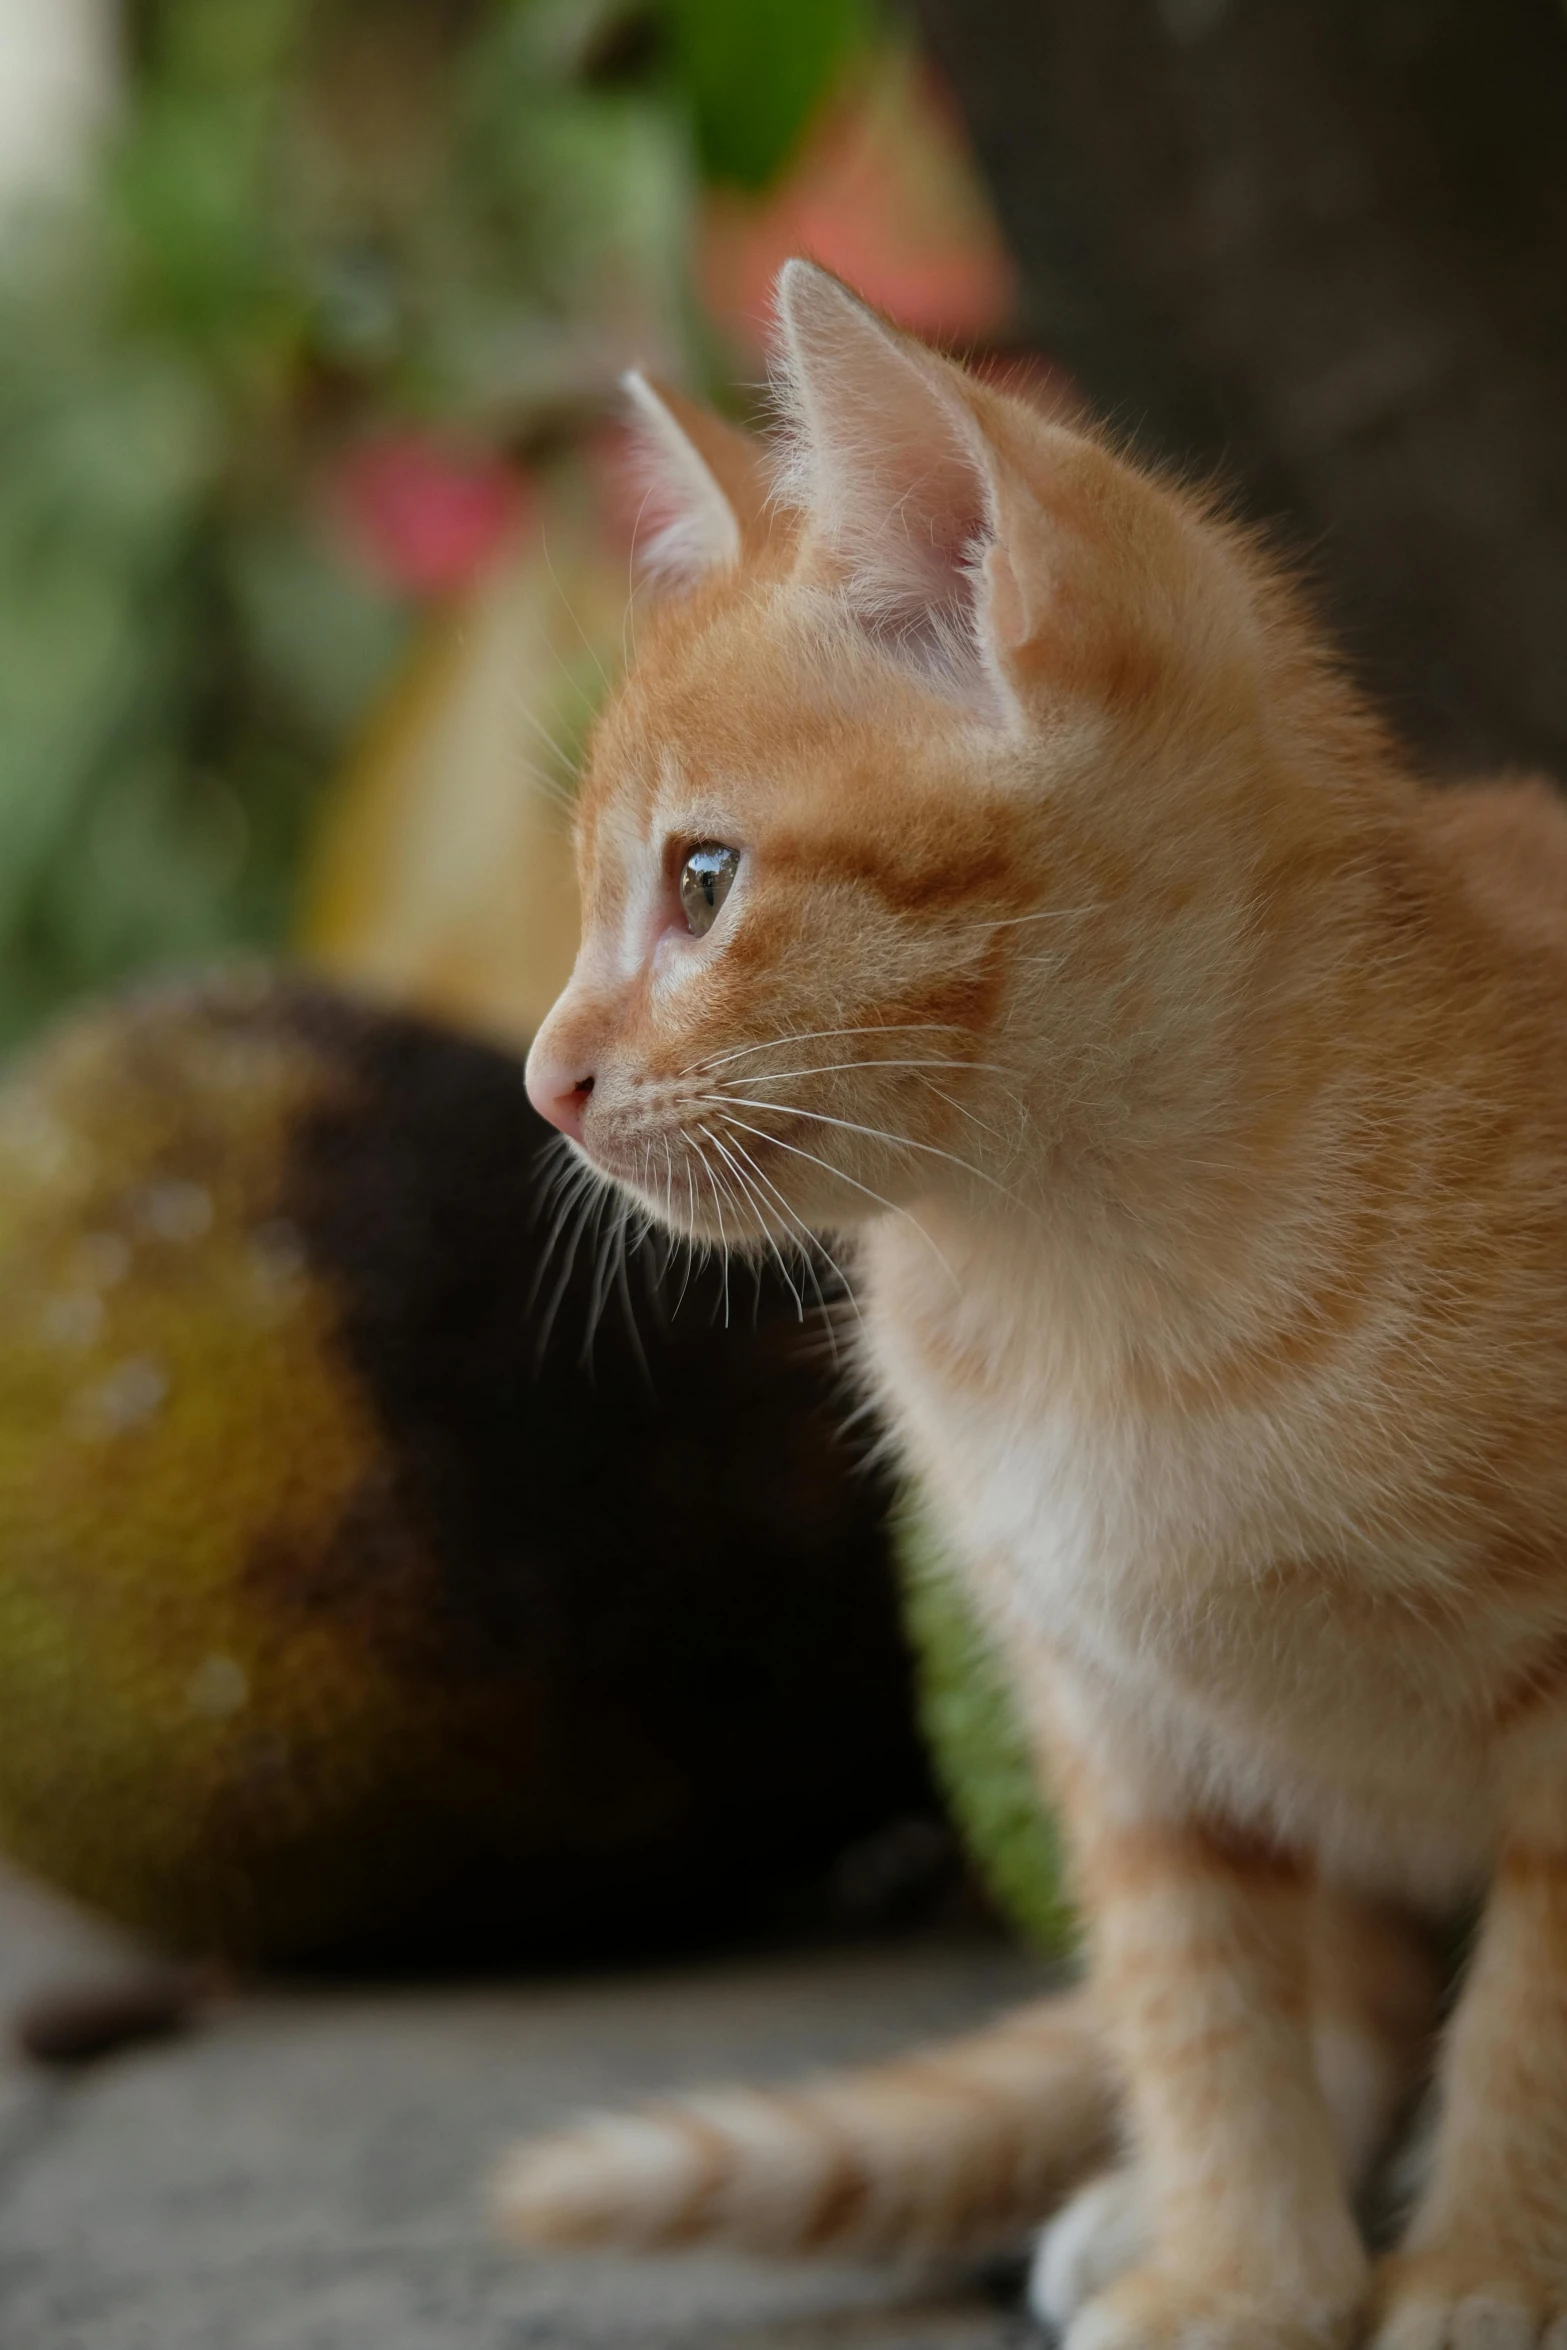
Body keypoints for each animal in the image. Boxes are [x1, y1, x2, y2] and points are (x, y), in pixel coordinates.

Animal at [500, 262, 1567, 2350]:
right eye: (604, 898)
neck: (1097, 1282)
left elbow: (1536, 2022)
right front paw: (1240, 2265)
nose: (544, 1078)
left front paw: (1486, 2265)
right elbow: (1191, 1994)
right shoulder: (1109, 1711)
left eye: (703, 881)